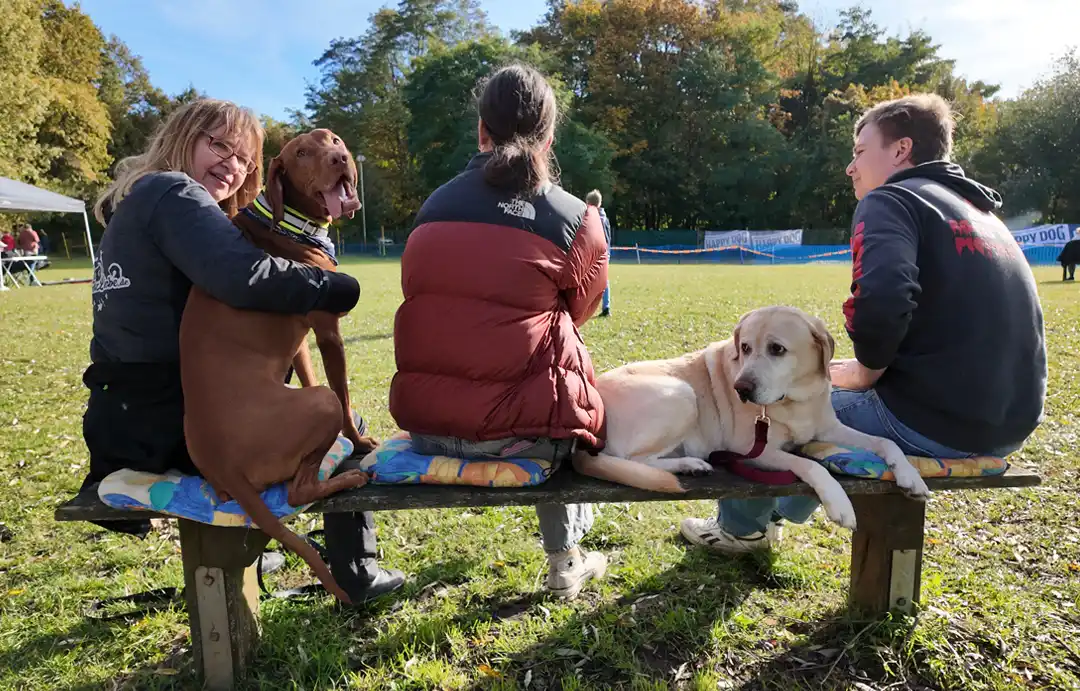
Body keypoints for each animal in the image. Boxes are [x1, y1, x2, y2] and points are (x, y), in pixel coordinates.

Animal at [179, 129, 378, 604]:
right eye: (302, 153)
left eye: (335, 140)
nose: (341, 159)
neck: (286, 222)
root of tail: (225, 463)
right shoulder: (328, 330)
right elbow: (343, 393)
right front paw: (357, 440)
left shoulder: (301, 342)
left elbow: (305, 372)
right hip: (318, 406)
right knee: (296, 490)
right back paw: (349, 478)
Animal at [574, 306, 928, 529]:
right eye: (744, 347)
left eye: (777, 349)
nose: (741, 388)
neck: (795, 400)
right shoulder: (750, 449)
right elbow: (810, 465)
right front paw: (838, 502)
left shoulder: (829, 429)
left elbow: (885, 442)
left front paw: (910, 475)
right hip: (681, 394)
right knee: (632, 460)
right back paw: (689, 464)